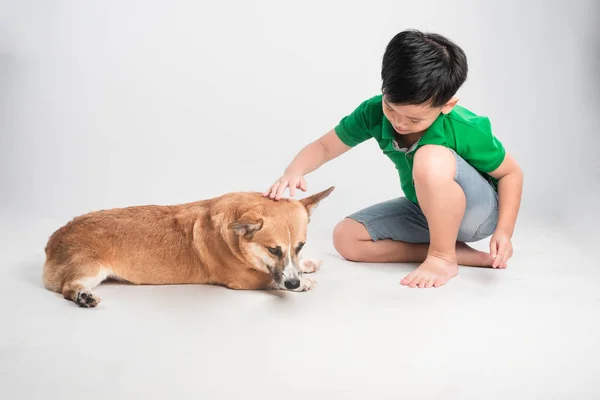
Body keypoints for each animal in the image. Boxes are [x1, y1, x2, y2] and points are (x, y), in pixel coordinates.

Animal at [43, 187, 332, 306]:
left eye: (300, 246)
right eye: (273, 250)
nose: (294, 283)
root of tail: (54, 237)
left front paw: (307, 265)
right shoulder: (244, 279)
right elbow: (269, 278)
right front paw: (303, 283)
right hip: (91, 269)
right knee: (68, 287)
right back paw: (82, 297)